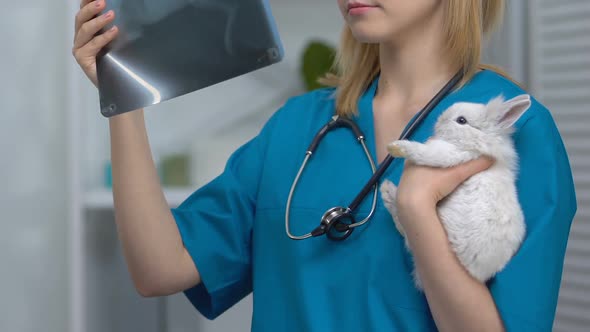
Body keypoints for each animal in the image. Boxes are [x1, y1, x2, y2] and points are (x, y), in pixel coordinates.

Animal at [382, 94, 536, 290]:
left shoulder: (452, 154)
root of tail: (478, 273)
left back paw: (387, 191)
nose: (438, 121)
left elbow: (424, 152)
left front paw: (395, 147)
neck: (478, 141)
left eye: (461, 120)